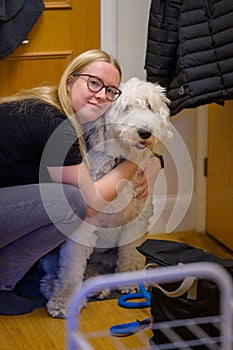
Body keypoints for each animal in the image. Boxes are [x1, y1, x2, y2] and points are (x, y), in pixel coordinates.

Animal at [40, 78, 172, 318]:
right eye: (126, 107)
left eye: (149, 106)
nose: (145, 132)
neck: (119, 161)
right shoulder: (83, 225)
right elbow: (71, 268)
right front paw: (64, 301)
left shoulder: (136, 222)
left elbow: (130, 253)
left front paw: (130, 281)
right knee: (51, 275)